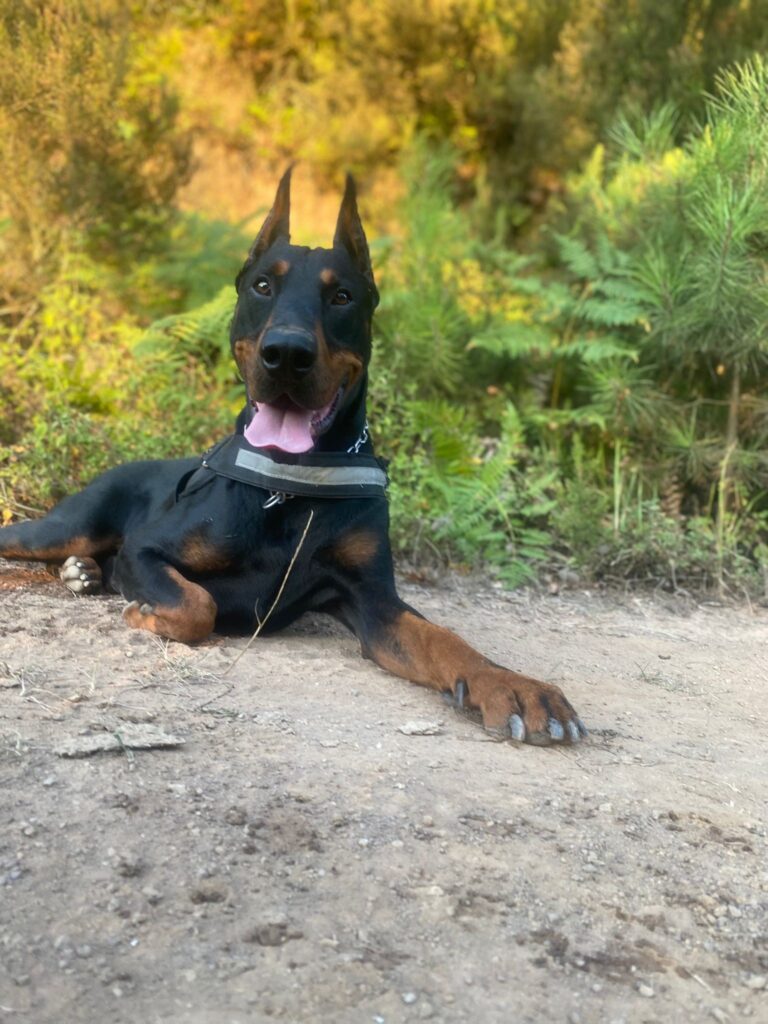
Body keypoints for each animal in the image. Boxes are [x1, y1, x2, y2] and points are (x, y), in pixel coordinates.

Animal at [0, 165, 585, 745]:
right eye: (263, 285)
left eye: (342, 296)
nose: (285, 354)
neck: (290, 483)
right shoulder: (146, 550)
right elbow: (197, 605)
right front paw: (144, 613)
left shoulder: (372, 599)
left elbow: (443, 638)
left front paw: (513, 686)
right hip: (64, 527)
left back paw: (83, 574)